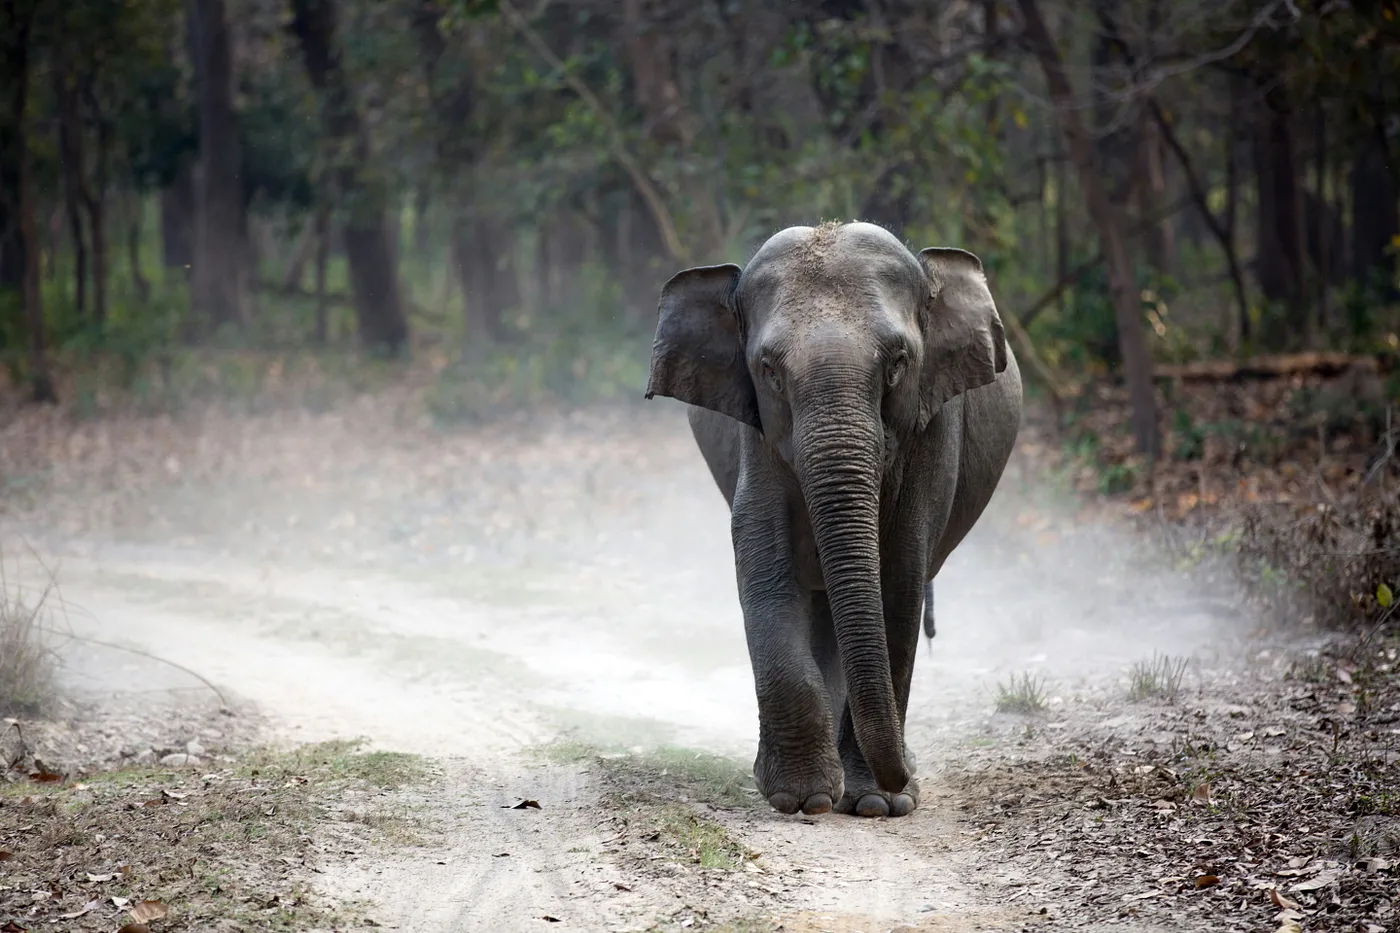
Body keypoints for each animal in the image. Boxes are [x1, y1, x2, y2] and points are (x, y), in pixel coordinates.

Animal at [641, 221, 1019, 818]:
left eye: (898, 363)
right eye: (768, 371)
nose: (903, 775)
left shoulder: (933, 427)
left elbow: (899, 579)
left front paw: (877, 804)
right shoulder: (757, 434)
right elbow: (765, 566)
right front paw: (804, 799)